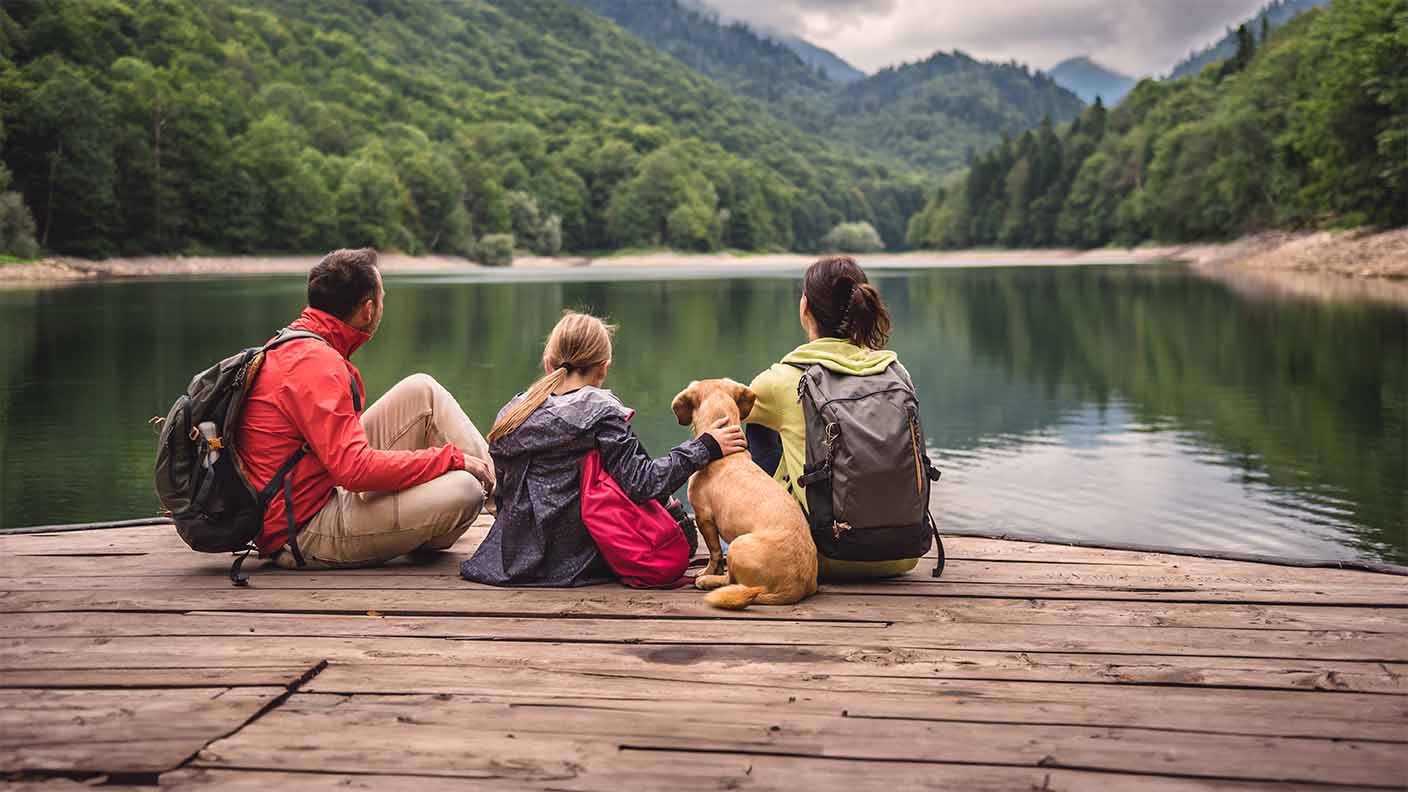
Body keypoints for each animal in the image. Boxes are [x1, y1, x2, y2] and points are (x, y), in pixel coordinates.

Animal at [673, 380, 822, 605]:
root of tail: (793, 588)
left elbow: (714, 552)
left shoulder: (703, 517)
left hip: (737, 545)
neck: (727, 454)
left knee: (731, 580)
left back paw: (707, 580)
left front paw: (707, 571)